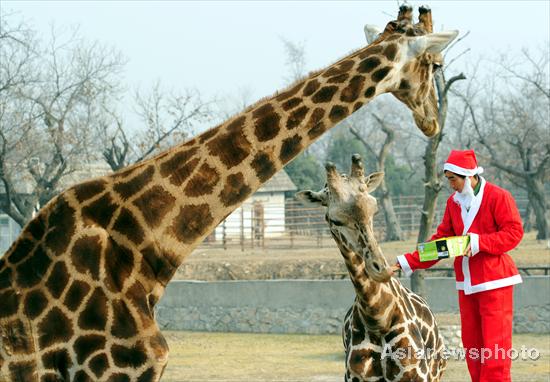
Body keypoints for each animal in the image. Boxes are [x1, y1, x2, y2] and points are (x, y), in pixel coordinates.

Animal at [298, 154, 448, 380]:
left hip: (436, 373)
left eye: (374, 209)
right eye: (335, 220)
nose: (381, 269)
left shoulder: (416, 376)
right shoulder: (355, 377)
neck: (378, 317)